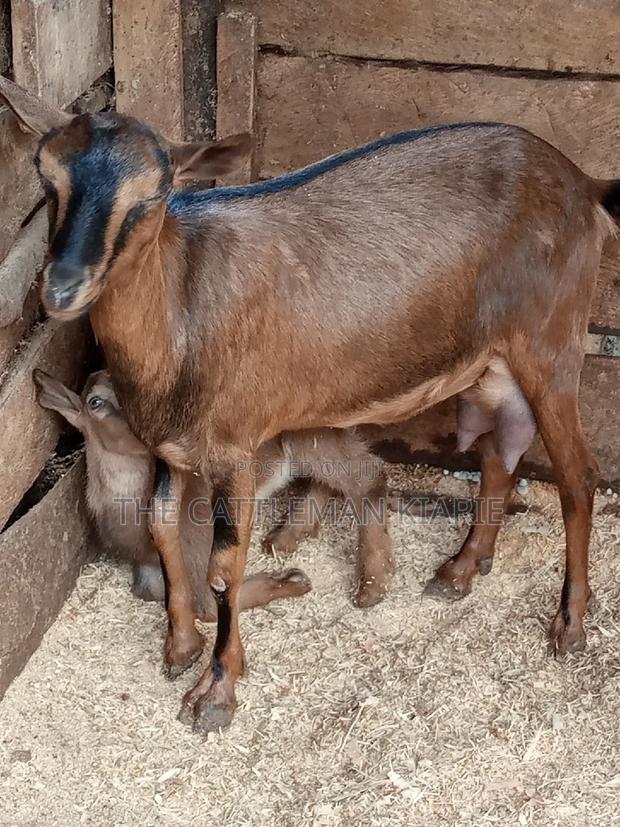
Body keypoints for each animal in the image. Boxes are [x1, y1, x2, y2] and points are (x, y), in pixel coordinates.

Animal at [2, 74, 614, 733]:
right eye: (45, 178)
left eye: (155, 194)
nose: (63, 287)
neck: (181, 313)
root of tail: (584, 184)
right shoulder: (171, 445)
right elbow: (161, 525)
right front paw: (180, 647)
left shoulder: (236, 447)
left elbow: (224, 567)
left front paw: (216, 693)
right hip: (490, 362)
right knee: (501, 453)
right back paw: (460, 569)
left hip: (553, 345)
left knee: (578, 475)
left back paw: (569, 624)